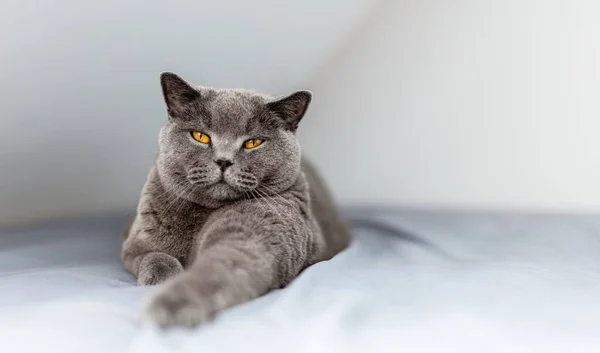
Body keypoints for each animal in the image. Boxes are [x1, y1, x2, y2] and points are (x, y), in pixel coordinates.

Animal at [122, 71, 352, 328]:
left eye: (253, 142)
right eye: (200, 136)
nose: (223, 160)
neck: (203, 215)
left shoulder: (263, 230)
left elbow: (225, 264)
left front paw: (173, 303)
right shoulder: (135, 246)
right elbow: (155, 256)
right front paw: (162, 279)